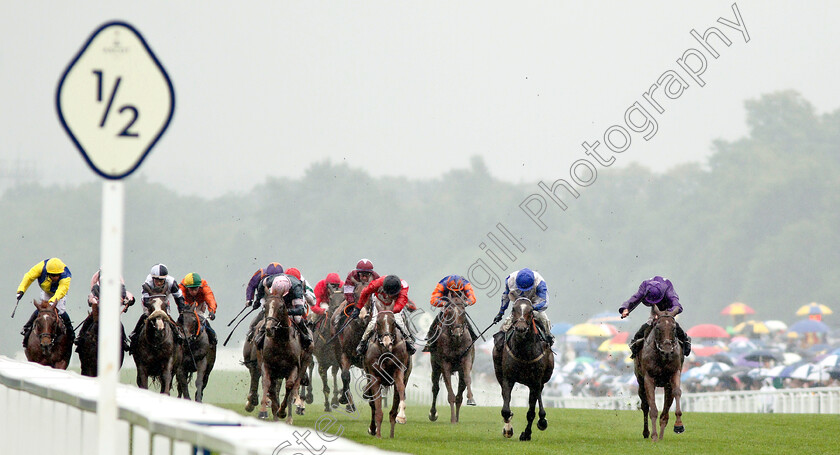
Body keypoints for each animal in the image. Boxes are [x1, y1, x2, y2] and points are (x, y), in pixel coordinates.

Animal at [258, 296, 310, 424]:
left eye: (281, 307)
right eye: (265, 306)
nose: (269, 328)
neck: (281, 340)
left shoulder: (293, 367)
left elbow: (289, 387)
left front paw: (282, 412)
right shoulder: (267, 365)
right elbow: (267, 384)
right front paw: (265, 411)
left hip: (304, 362)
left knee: (293, 388)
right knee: (273, 390)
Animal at [362, 310, 412, 438]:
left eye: (394, 322)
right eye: (378, 323)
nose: (387, 342)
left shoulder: (399, 370)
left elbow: (401, 388)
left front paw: (402, 417)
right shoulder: (374, 376)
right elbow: (377, 408)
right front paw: (378, 434)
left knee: (393, 410)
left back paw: (391, 435)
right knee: (373, 404)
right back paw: (373, 429)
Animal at [488, 300, 556, 442]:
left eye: (530, 311)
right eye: (514, 309)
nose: (520, 328)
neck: (524, 351)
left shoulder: (535, 381)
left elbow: (531, 412)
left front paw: (526, 434)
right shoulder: (508, 378)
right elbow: (506, 410)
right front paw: (508, 429)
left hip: (541, 380)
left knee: (538, 396)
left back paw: (542, 420)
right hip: (500, 374)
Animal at [636, 306, 684, 442]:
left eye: (674, 328)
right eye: (658, 327)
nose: (667, 350)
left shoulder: (674, 373)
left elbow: (677, 392)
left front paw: (678, 425)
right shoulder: (648, 378)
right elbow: (652, 407)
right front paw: (654, 436)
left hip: (667, 385)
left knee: (666, 410)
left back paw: (662, 434)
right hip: (640, 380)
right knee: (645, 405)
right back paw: (647, 433)